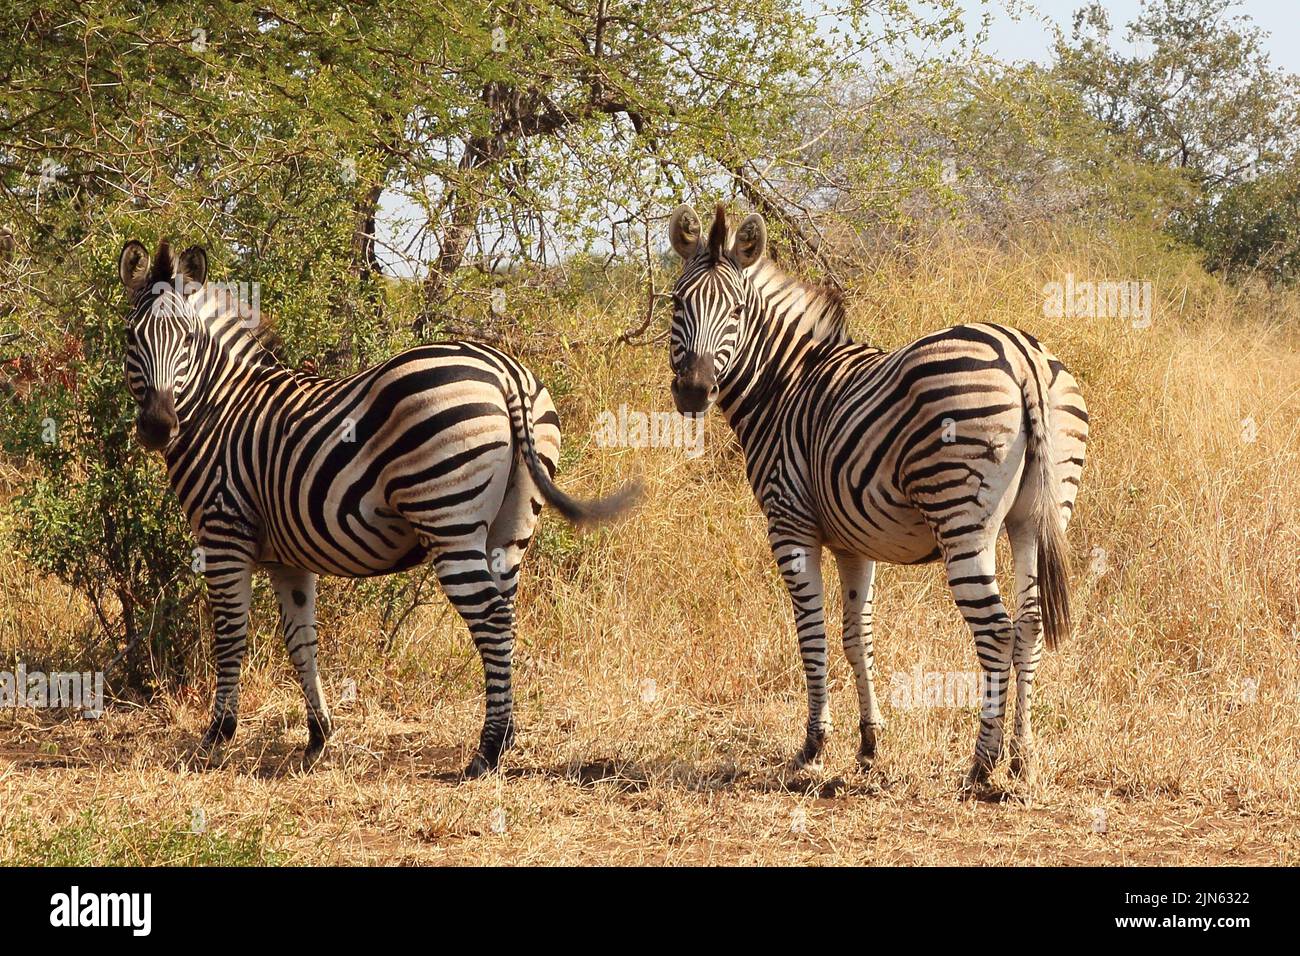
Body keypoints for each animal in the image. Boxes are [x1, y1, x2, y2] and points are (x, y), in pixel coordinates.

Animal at [117, 239, 636, 776]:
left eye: (187, 340)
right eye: (130, 336)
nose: (157, 427)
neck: (220, 408)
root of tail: (505, 372)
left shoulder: (223, 532)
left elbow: (230, 634)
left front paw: (217, 736)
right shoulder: (287, 557)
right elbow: (301, 640)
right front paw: (318, 737)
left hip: (448, 518)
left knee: (490, 616)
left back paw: (487, 751)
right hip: (511, 527)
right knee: (506, 616)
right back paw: (505, 736)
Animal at [666, 204, 1088, 789]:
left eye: (737, 310)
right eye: (676, 303)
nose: (693, 392)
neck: (783, 385)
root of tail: (1021, 354)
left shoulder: (790, 525)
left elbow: (812, 636)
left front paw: (813, 747)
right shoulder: (854, 542)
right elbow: (856, 637)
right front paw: (869, 745)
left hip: (962, 519)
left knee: (997, 631)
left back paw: (982, 766)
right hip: (1036, 518)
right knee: (1029, 626)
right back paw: (1023, 757)